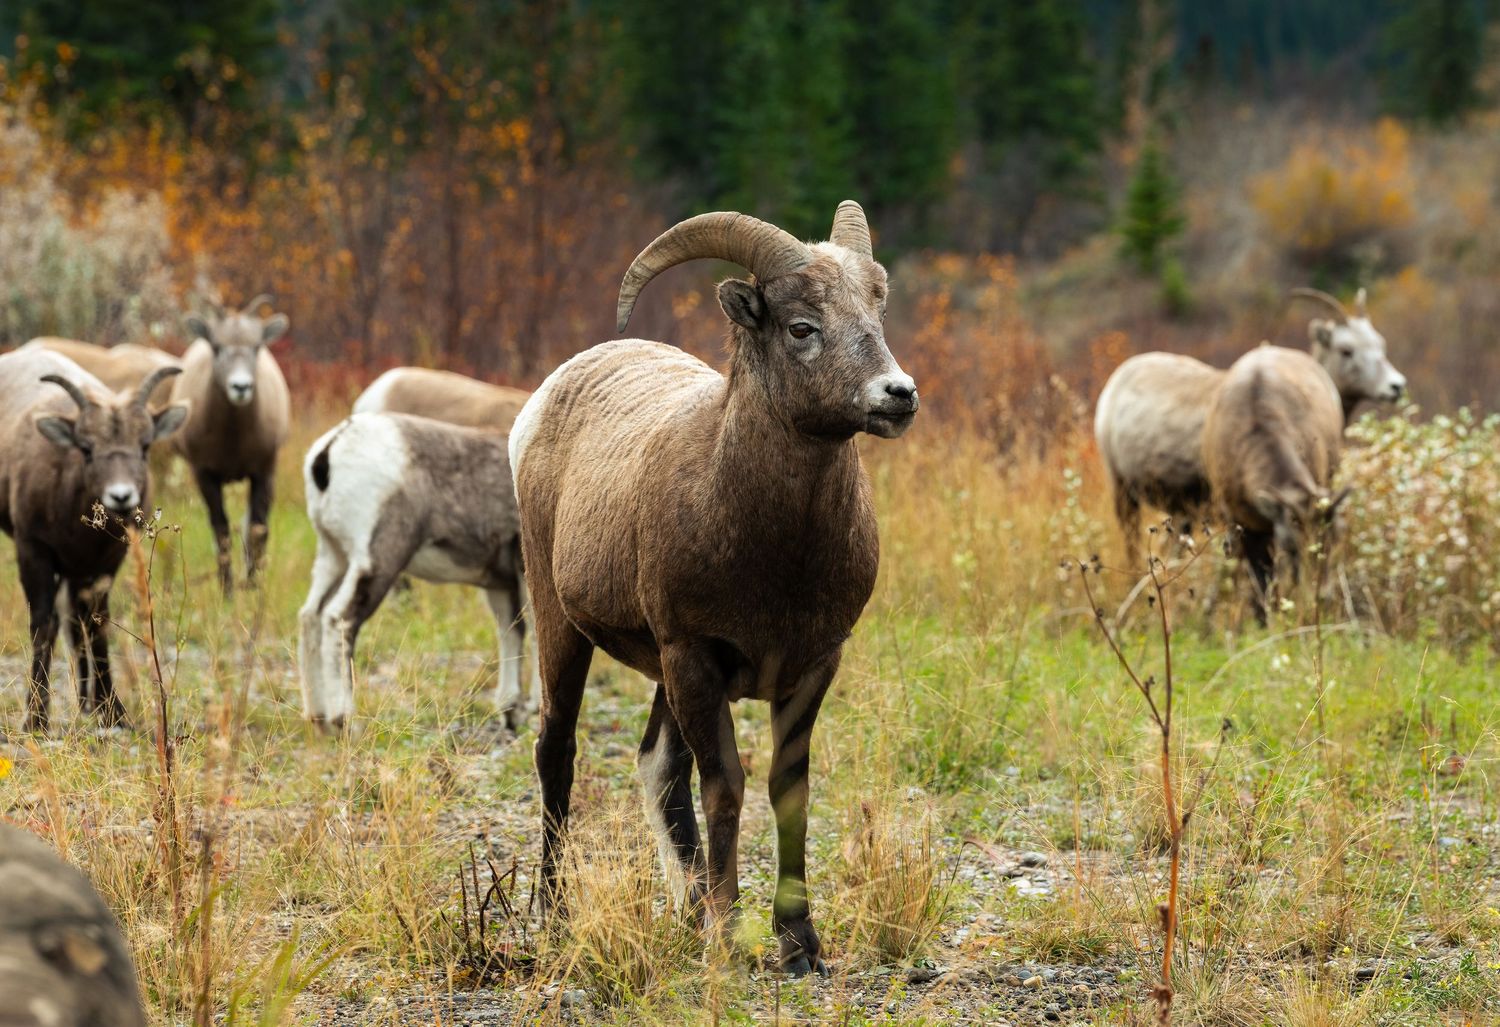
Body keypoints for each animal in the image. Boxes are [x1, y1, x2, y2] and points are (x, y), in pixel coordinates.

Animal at [0, 349, 187, 732]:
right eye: (85, 448)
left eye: (145, 446)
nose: (121, 496)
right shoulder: (33, 550)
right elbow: (43, 624)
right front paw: (36, 718)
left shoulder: (106, 561)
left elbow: (96, 624)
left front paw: (113, 712)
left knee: (77, 622)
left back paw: (86, 703)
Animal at [174, 294, 291, 592]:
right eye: (217, 347)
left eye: (256, 346)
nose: (240, 387)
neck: (233, 439)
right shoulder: (204, 473)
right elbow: (221, 529)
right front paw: (227, 591)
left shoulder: (264, 470)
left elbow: (257, 529)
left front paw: (253, 586)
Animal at [298, 412, 534, 729]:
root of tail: (330, 450)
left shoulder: (500, 584)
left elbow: (512, 632)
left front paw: (511, 712)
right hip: (377, 561)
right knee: (340, 619)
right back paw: (342, 720)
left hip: (334, 558)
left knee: (310, 616)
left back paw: (318, 717)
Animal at [510, 201, 919, 975]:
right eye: (801, 327)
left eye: (876, 311)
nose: (898, 395)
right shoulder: (695, 656)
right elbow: (724, 785)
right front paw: (728, 939)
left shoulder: (813, 665)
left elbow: (787, 791)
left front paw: (798, 945)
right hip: (563, 623)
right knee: (558, 750)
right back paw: (553, 915)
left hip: (659, 671)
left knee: (656, 768)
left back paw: (685, 910)